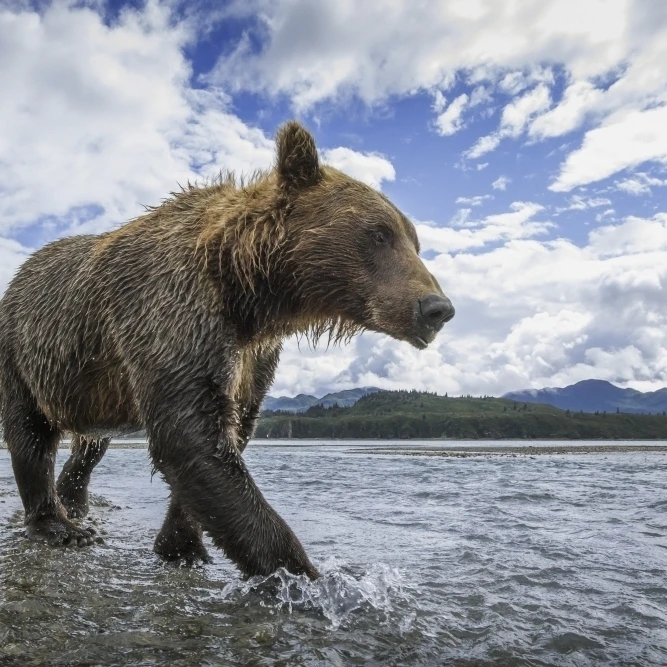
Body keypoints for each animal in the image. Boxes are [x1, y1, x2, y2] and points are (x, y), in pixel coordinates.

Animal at [0, 121, 454, 579]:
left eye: (415, 242)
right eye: (379, 234)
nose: (437, 308)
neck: (248, 291)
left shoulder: (252, 355)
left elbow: (230, 429)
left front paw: (182, 545)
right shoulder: (173, 310)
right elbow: (189, 433)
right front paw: (303, 575)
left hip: (87, 386)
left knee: (90, 444)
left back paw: (75, 501)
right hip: (22, 350)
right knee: (30, 435)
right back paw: (59, 525)